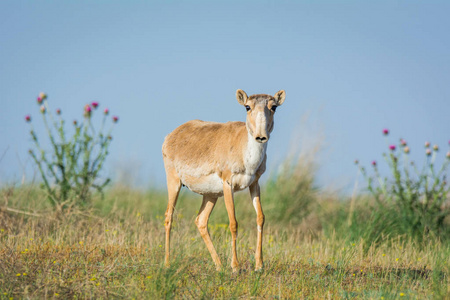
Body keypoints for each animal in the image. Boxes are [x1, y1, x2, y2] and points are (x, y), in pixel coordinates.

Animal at [163, 89, 286, 272]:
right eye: (247, 106)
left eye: (274, 107)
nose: (261, 137)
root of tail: (172, 135)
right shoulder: (228, 185)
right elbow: (233, 222)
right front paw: (235, 266)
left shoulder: (254, 184)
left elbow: (261, 218)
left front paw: (259, 265)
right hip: (174, 183)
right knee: (168, 217)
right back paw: (167, 264)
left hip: (210, 195)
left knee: (201, 221)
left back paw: (219, 266)